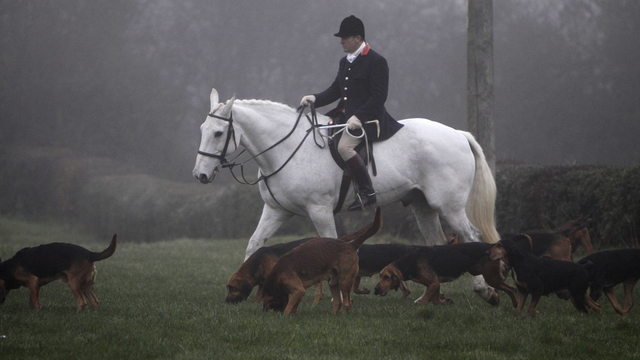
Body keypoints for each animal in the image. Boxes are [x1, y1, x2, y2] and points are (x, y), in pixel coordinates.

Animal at [192, 88, 502, 302]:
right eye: (202, 130)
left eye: (219, 133)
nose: (200, 176)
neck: (287, 149)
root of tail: (459, 134)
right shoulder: (276, 210)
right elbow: (254, 245)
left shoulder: (319, 210)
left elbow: (329, 246)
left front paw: (336, 296)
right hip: (422, 205)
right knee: (437, 243)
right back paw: (434, 295)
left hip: (449, 205)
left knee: (472, 236)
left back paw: (484, 290)